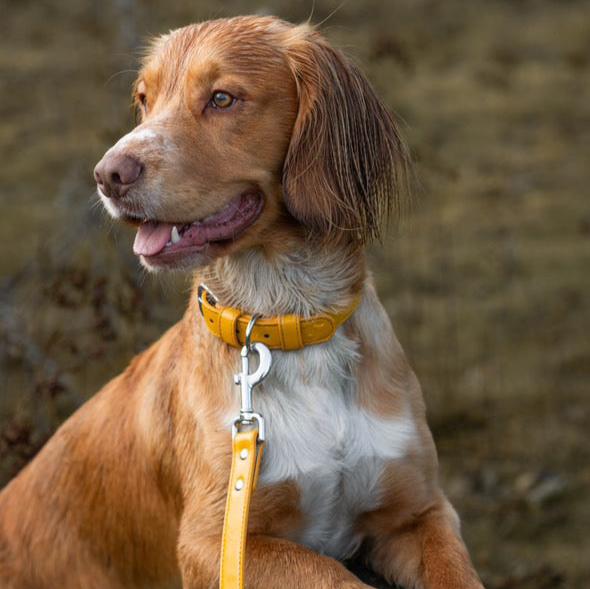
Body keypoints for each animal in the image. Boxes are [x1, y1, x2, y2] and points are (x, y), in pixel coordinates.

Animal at [0, 17, 486, 588]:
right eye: (144, 99)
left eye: (223, 98)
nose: (108, 175)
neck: (290, 321)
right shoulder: (211, 542)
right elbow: (329, 573)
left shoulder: (420, 511)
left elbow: (455, 574)